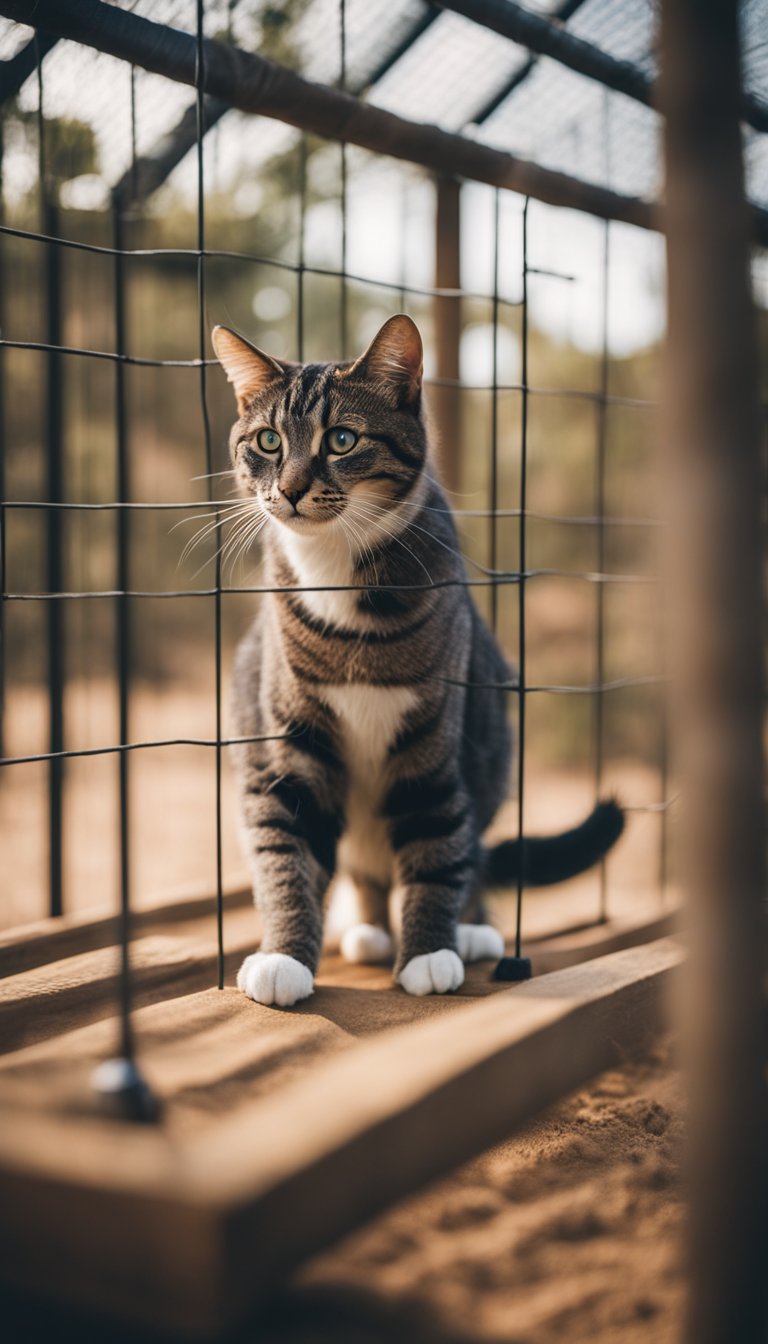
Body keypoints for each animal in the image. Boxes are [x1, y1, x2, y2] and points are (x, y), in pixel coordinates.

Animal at [209, 317, 624, 1010]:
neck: (337, 574)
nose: (289, 490)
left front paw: (430, 951)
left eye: (342, 439)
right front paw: (283, 956)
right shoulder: (289, 740)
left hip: (491, 752)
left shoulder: (433, 736)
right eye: (267, 440)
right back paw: (368, 927)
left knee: (469, 850)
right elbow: (286, 850)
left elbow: (436, 834)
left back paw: (471, 928)